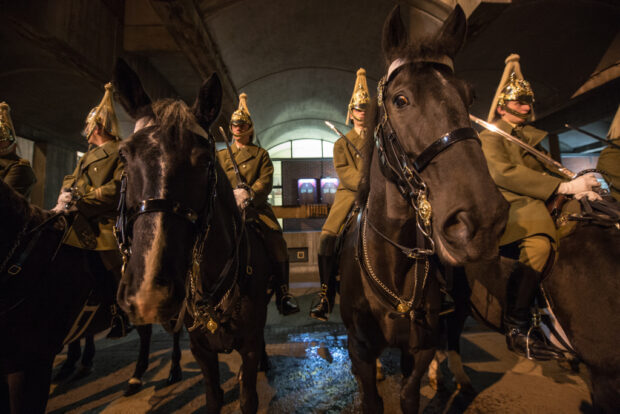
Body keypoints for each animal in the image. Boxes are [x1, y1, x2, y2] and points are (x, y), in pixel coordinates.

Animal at [114, 59, 272, 414]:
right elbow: (213, 397)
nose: (149, 293)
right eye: (124, 156)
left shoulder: (249, 344)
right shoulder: (201, 350)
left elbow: (248, 396)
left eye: (204, 160)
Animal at [340, 7, 508, 414]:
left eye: (469, 96)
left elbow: (410, 393)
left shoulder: (419, 348)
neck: (393, 260)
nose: (482, 220)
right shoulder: (360, 348)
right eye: (400, 100)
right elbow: (371, 394)